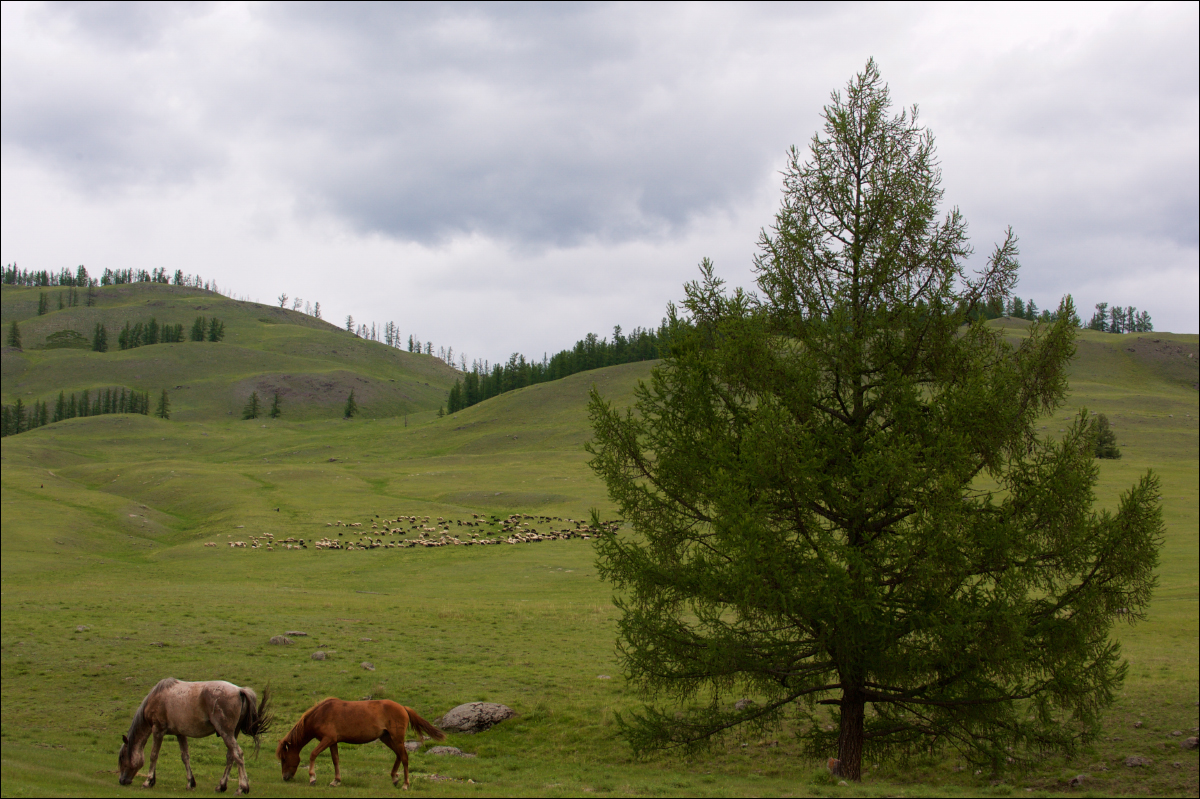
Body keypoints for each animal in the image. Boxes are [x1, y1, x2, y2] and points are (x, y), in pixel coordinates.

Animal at [117, 676, 274, 791]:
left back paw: (242, 787)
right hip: (232, 733)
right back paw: (221, 786)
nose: (122, 780)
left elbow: (153, 755)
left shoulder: (158, 730)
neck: (157, 697)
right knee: (231, 756)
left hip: (226, 732)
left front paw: (148, 781)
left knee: (238, 754)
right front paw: (190, 783)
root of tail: (240, 690)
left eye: (123, 757)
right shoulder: (180, 734)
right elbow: (185, 757)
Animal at [276, 695, 446, 787]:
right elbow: (335, 760)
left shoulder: (327, 739)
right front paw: (336, 781)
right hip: (386, 738)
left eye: (284, 759)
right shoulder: (333, 741)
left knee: (404, 757)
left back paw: (405, 784)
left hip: (396, 738)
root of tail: (403, 708)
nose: (285, 777)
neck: (320, 714)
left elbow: (313, 754)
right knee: (399, 755)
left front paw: (312, 778)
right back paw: (394, 778)